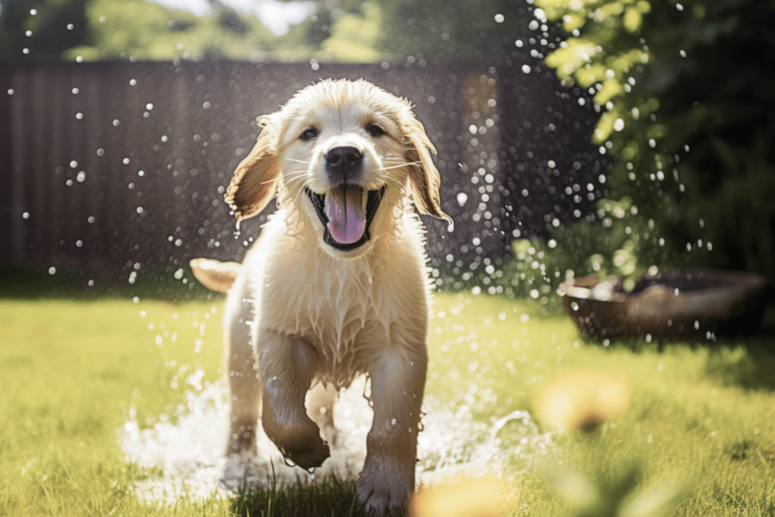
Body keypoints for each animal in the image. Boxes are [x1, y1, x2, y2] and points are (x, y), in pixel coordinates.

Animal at [197, 78, 452, 512]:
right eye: (308, 134)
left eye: (375, 130)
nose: (343, 154)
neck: (341, 265)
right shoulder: (279, 336)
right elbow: (280, 413)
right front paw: (306, 452)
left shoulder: (401, 350)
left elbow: (393, 427)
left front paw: (385, 488)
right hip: (240, 359)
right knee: (243, 416)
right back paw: (238, 465)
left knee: (320, 407)